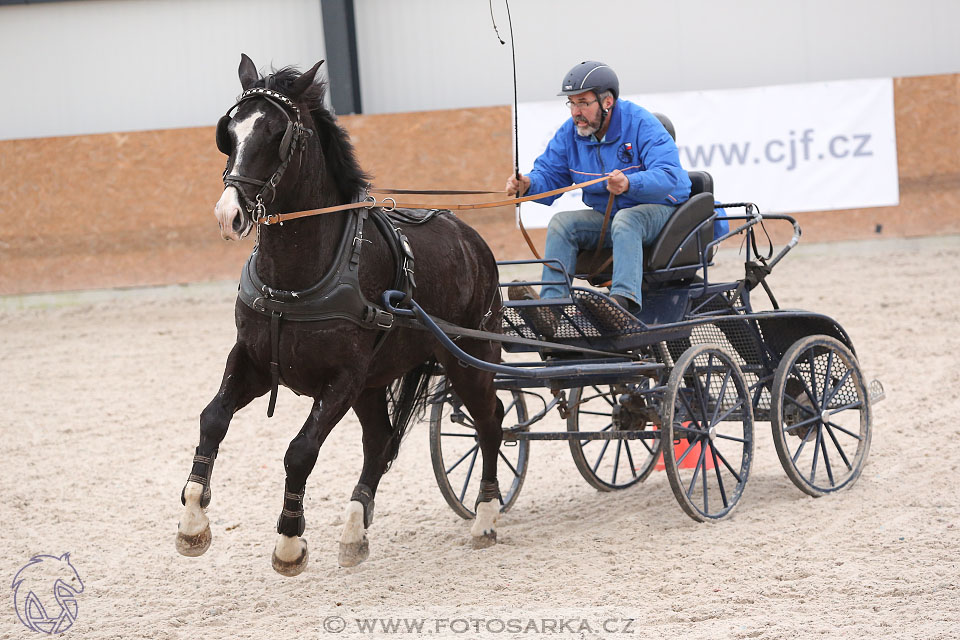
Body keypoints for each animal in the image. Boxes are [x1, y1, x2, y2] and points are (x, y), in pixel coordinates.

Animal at [181, 55, 510, 576]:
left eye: (277, 133)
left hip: (468, 358)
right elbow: (212, 418)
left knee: (491, 421)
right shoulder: (254, 361)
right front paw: (193, 521)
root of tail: (470, 237)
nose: (228, 215)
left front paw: (289, 541)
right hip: (377, 383)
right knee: (379, 441)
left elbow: (300, 452)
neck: (298, 278)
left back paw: (484, 518)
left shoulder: (343, 378)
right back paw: (355, 530)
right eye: (229, 132)